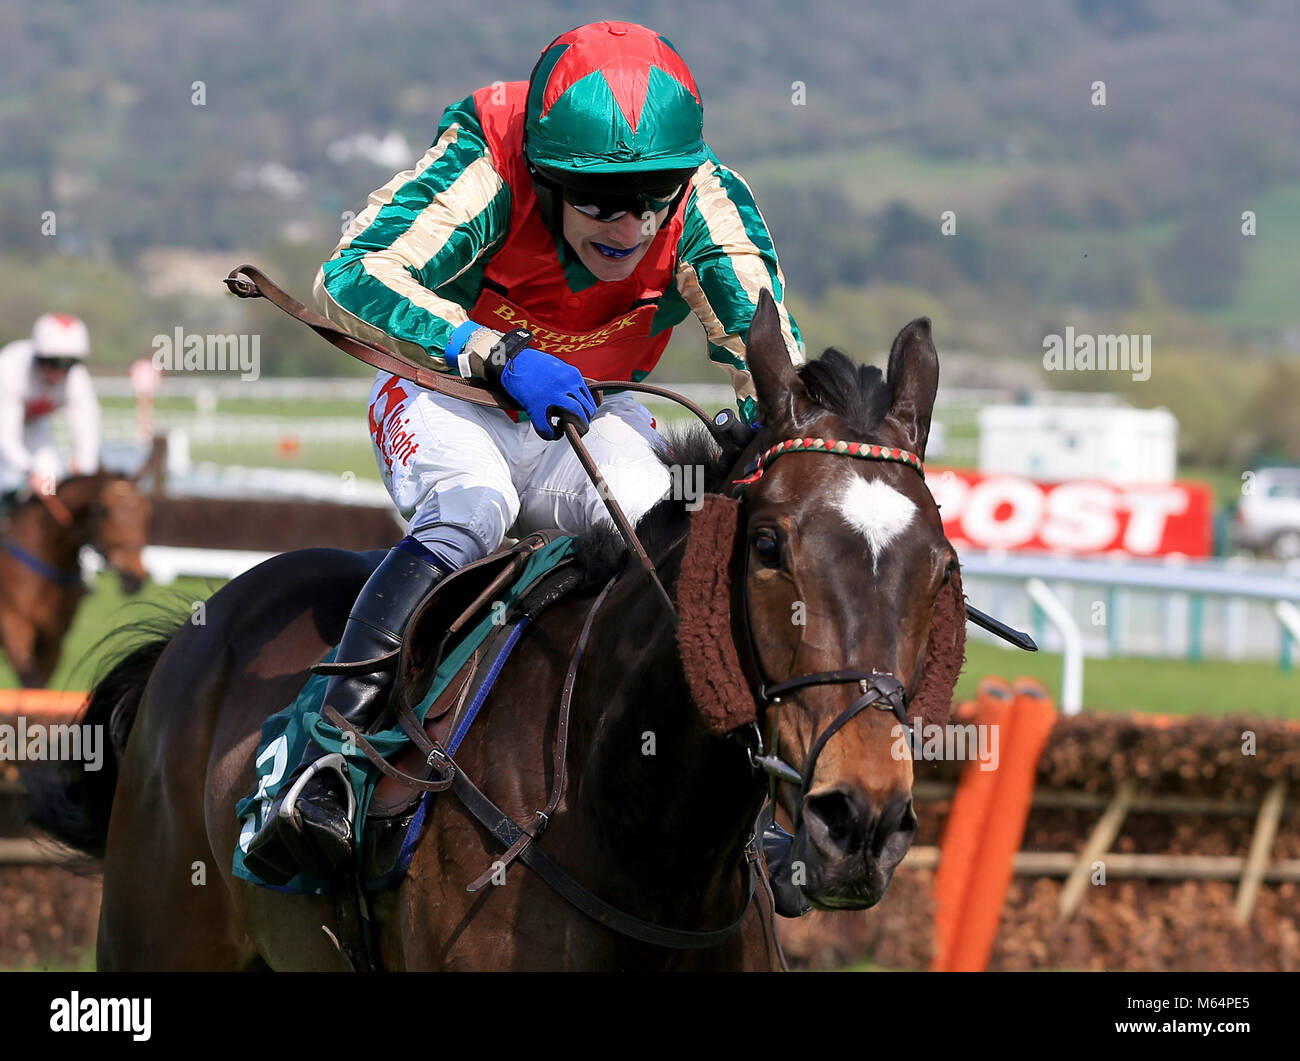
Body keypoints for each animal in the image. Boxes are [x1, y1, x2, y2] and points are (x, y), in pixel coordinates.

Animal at [1, 470, 152, 686]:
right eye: (104, 510)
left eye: (146, 511)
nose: (135, 577)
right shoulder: (13, 626)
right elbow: (32, 683)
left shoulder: (53, 641)